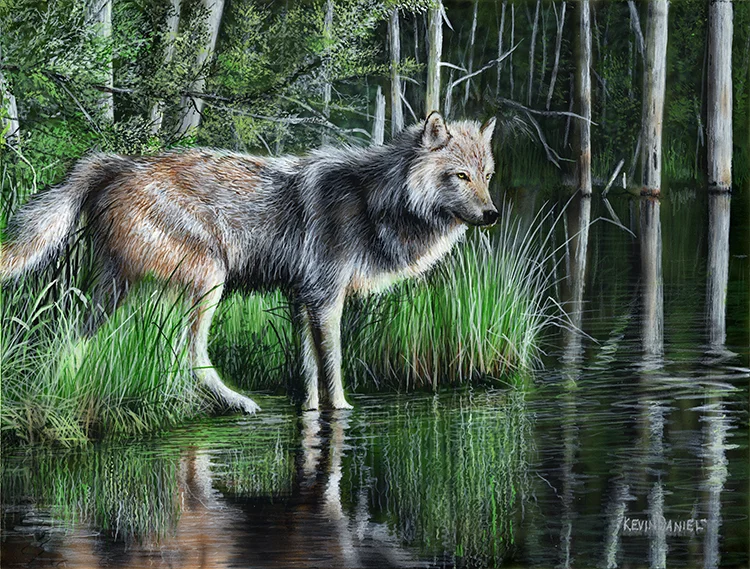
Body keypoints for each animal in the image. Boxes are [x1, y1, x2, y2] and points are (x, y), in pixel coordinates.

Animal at [0, 112, 498, 413]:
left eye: (487, 176)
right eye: (460, 176)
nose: (492, 214)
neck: (375, 201)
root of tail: (114, 164)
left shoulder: (301, 299)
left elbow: (309, 371)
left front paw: (310, 411)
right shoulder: (325, 299)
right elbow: (332, 367)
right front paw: (341, 412)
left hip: (115, 293)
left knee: (70, 338)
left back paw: (55, 389)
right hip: (206, 282)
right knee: (189, 356)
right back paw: (239, 403)